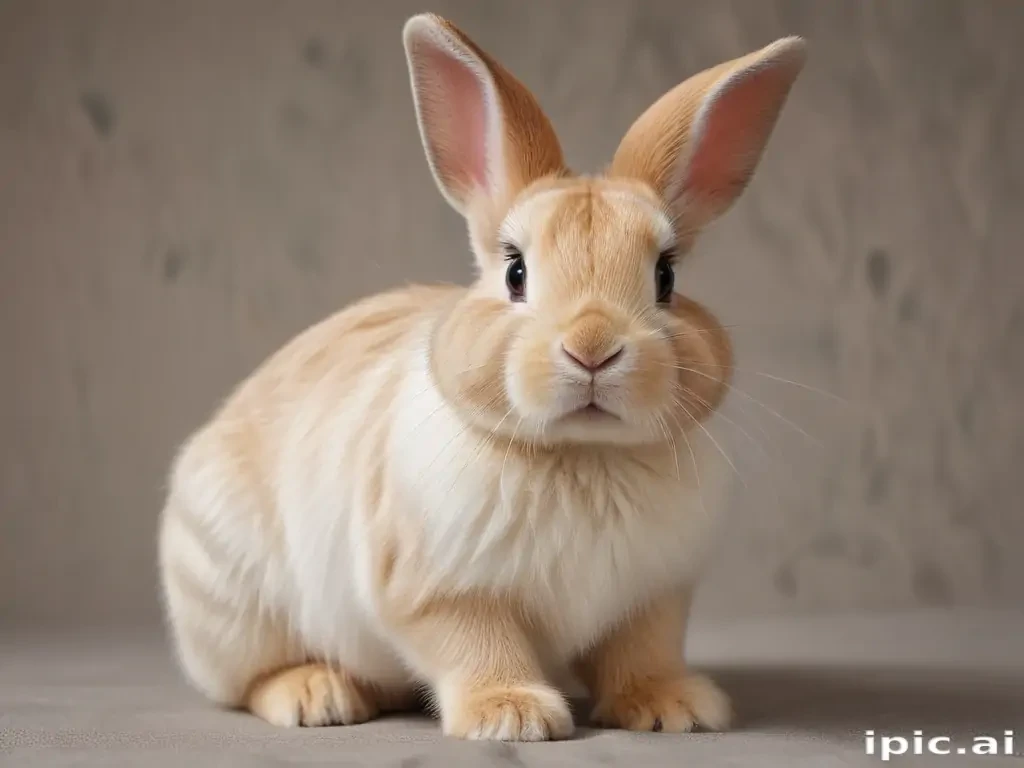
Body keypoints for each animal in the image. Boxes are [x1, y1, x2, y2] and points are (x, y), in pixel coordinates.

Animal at [158, 12, 806, 741]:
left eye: (666, 277)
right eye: (515, 272)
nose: (592, 348)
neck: (584, 455)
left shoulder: (656, 598)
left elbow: (643, 652)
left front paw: (675, 708)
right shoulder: (439, 592)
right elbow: (478, 645)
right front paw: (513, 716)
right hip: (234, 602)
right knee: (248, 681)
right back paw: (317, 695)